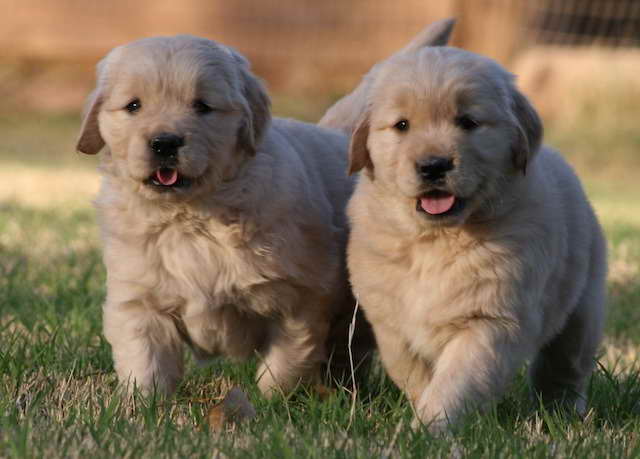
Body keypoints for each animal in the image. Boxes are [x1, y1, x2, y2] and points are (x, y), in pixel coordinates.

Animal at [74, 35, 364, 396]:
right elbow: (145, 358)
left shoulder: (300, 296)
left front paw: (274, 400)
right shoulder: (139, 298)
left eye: (202, 106)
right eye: (134, 106)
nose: (165, 143)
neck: (190, 216)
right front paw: (143, 402)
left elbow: (287, 358)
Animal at [340, 46, 604, 432]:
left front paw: (429, 429)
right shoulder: (389, 322)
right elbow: (412, 372)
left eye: (468, 122)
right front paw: (421, 417)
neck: (434, 241)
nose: (433, 165)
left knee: (564, 368)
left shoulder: (490, 321)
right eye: (402, 125)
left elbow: (457, 380)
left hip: (582, 311)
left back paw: (563, 413)